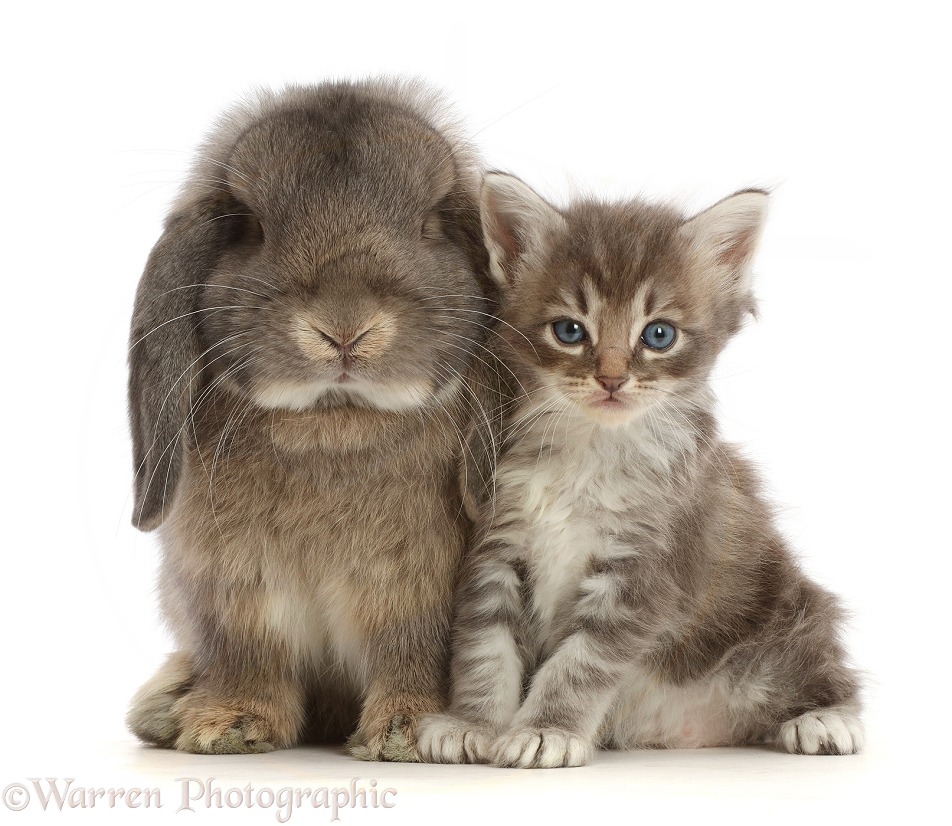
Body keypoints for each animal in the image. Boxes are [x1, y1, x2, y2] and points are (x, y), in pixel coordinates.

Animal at [126, 80, 498, 756]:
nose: (344, 328)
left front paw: (409, 733)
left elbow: (413, 654)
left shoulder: (420, 595)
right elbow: (249, 658)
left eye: (430, 223)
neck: (336, 421)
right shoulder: (237, 591)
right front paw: (228, 725)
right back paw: (166, 706)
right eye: (251, 226)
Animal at [416, 172, 864, 768]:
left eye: (658, 335)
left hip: (784, 619)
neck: (592, 451)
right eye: (569, 330)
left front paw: (547, 731)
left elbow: (578, 664)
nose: (611, 379)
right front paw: (474, 723)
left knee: (823, 669)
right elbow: (485, 650)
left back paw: (825, 719)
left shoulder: (643, 570)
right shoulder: (496, 548)